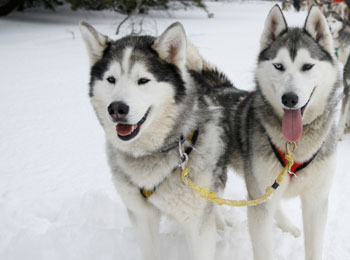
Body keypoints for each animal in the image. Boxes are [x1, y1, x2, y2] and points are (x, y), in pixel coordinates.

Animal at [79, 20, 246, 260]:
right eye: (111, 79)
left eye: (143, 80)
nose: (117, 108)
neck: (152, 152)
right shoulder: (142, 216)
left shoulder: (196, 222)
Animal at [231, 5, 340, 260]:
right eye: (279, 66)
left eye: (307, 66)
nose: (289, 99)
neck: (295, 146)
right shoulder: (259, 204)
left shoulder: (316, 201)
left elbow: (314, 248)